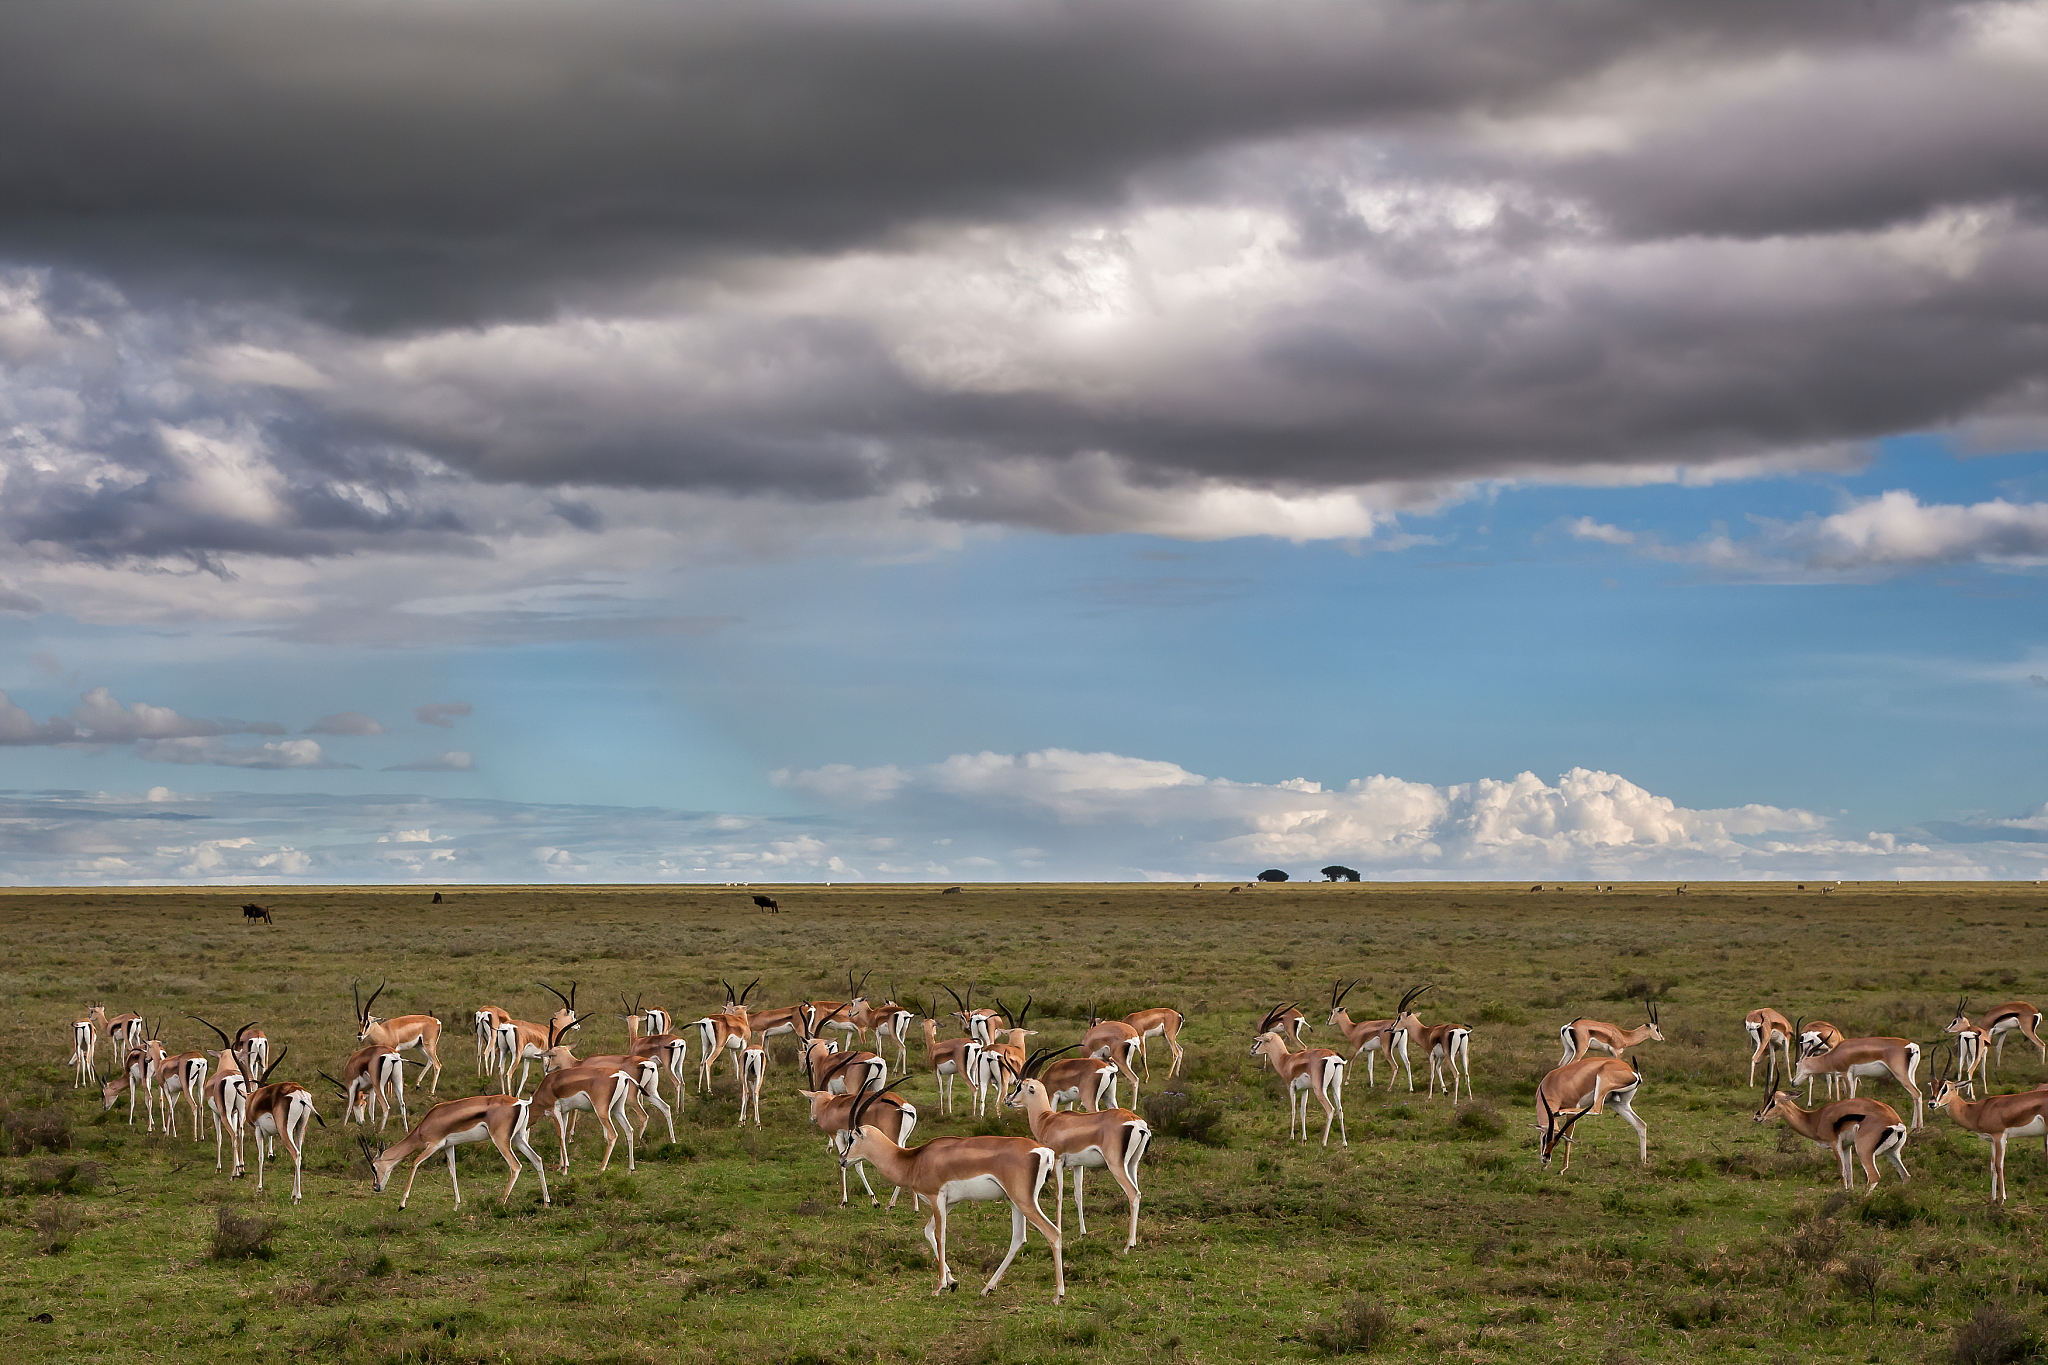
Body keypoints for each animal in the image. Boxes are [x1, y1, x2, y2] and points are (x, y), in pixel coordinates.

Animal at [362, 1094, 552, 1209]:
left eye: (373, 1167)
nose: (376, 1187)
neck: (425, 1125)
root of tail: (521, 1103)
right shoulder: (448, 1146)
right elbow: (452, 1171)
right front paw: (456, 1205)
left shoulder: (433, 1145)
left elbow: (415, 1163)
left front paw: (402, 1204)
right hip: (518, 1138)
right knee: (537, 1160)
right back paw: (546, 1202)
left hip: (501, 1140)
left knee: (516, 1166)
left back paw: (500, 1202)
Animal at [840, 1079, 1066, 1302]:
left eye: (851, 1138)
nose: (842, 1159)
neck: (914, 1160)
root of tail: (1043, 1151)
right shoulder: (949, 1203)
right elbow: (928, 1231)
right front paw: (953, 1282)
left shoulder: (936, 1198)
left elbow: (940, 1236)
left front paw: (939, 1286)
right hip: (1014, 1202)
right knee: (1018, 1239)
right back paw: (987, 1289)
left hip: (1023, 1201)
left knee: (1053, 1233)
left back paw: (1058, 1295)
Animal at [1005, 1047, 1153, 1250]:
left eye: (1020, 1086)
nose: (1008, 1100)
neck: (1047, 1120)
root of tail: (1137, 1123)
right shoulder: (1077, 1165)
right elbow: (1078, 1195)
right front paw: (1083, 1231)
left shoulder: (1057, 1162)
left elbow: (1058, 1196)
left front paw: (1059, 1229)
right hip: (1132, 1164)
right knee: (1138, 1192)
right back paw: (1135, 1240)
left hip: (1116, 1165)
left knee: (1134, 1194)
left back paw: (1128, 1244)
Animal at [1752, 1058, 1910, 1189]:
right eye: (1765, 1099)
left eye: (1772, 1102)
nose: (1757, 1117)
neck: (1815, 1119)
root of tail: (1895, 1122)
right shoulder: (1846, 1146)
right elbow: (1849, 1174)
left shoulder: (1835, 1145)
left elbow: (1842, 1173)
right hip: (1892, 1152)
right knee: (1905, 1176)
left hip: (1864, 1151)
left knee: (1873, 1177)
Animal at [1793, 1032, 1923, 1127]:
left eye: (1798, 1065)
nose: (1793, 1082)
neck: (1835, 1054)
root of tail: (1911, 1046)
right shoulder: (1855, 1076)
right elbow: (1854, 1097)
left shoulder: (1846, 1073)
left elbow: (1849, 1097)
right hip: (1910, 1074)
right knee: (1917, 1095)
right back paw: (1914, 1125)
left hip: (1901, 1075)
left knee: (1916, 1093)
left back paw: (1918, 1127)